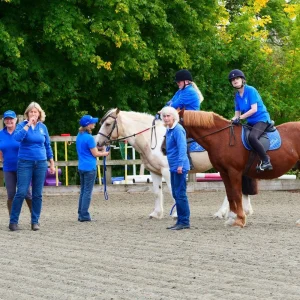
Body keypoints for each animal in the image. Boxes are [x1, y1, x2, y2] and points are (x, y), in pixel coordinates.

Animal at [95, 108, 254, 218]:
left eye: (108, 124)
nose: (97, 143)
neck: (153, 139)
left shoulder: (168, 170)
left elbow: (173, 191)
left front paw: (177, 213)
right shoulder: (154, 172)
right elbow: (157, 192)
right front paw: (156, 213)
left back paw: (222, 212)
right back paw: (243, 210)